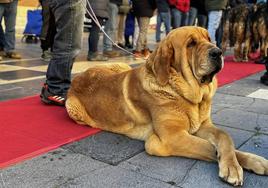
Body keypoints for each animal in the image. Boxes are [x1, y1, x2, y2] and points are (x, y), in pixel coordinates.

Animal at [65, 26, 268, 187]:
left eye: (209, 39)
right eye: (191, 44)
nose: (218, 52)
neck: (183, 92)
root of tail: (76, 78)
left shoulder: (203, 125)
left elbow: (225, 138)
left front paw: (249, 161)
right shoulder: (172, 137)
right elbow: (208, 147)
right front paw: (233, 167)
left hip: (122, 65)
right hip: (72, 108)